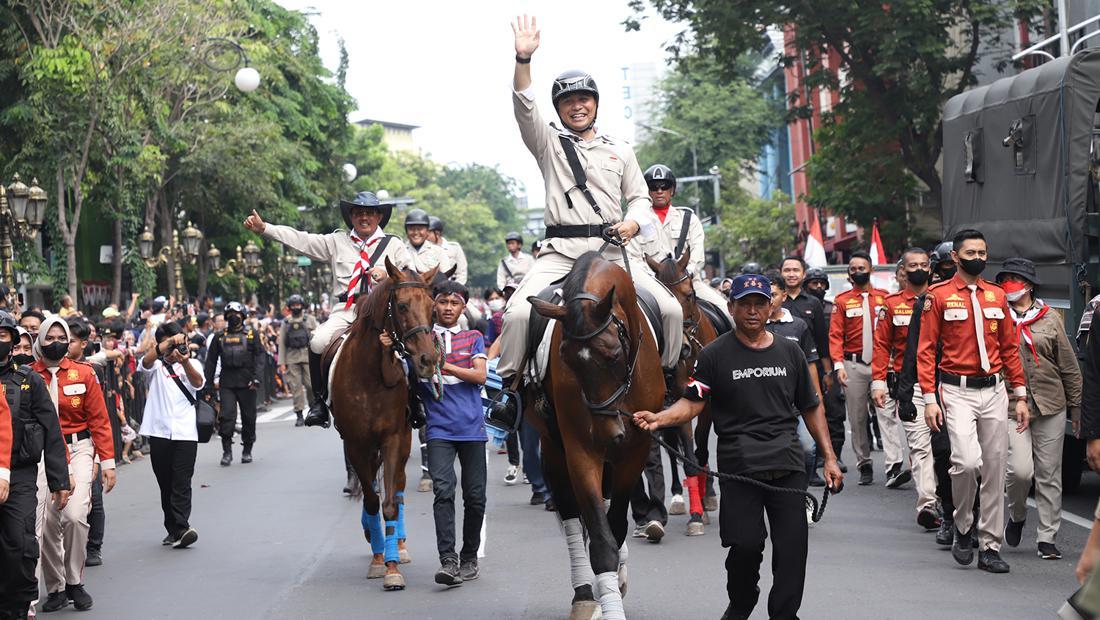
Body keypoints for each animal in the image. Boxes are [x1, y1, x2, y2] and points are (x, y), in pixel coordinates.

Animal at [330, 258, 442, 589]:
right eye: (402, 306)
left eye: (432, 307)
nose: (427, 360)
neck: (370, 374)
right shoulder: (355, 444)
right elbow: (370, 499)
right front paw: (378, 559)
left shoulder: (393, 438)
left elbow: (390, 502)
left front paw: (392, 567)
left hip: (402, 440)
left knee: (400, 488)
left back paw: (400, 546)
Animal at [530, 250, 664, 620]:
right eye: (566, 359)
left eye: (613, 353)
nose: (607, 433)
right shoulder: (580, 450)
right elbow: (601, 539)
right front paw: (606, 601)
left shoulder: (635, 449)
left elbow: (614, 526)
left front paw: (616, 582)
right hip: (554, 450)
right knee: (573, 519)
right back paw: (585, 595)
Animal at [642, 249, 721, 534]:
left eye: (689, 294)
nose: (684, 347)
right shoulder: (676, 402)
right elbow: (685, 457)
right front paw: (695, 514)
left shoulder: (708, 405)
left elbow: (700, 452)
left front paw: (703, 505)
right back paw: (677, 496)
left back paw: (708, 494)